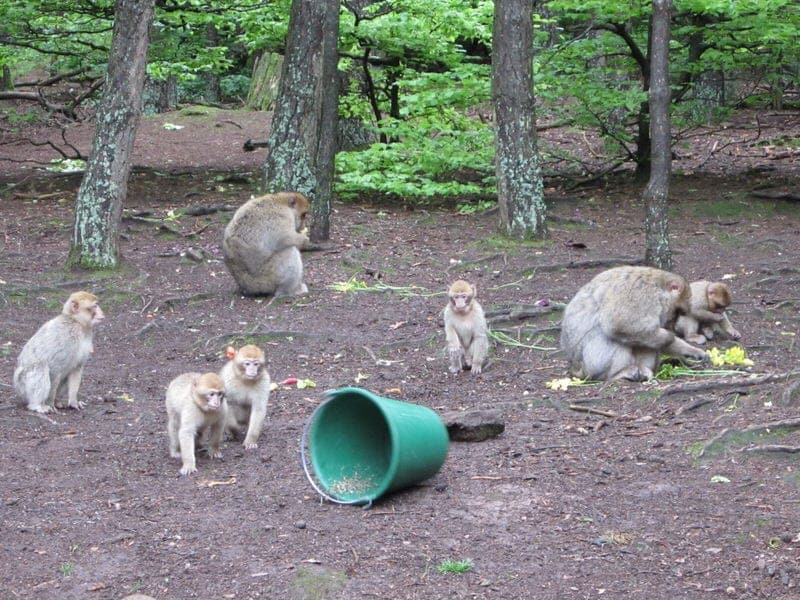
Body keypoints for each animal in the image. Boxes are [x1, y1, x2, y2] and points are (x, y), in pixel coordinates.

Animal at [560, 266, 708, 382]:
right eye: (678, 311)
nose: (672, 322)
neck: (658, 287)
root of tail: (576, 369)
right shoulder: (642, 293)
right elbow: (619, 324)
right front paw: (668, 337)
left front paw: (692, 351)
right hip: (592, 365)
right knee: (616, 337)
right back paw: (618, 374)